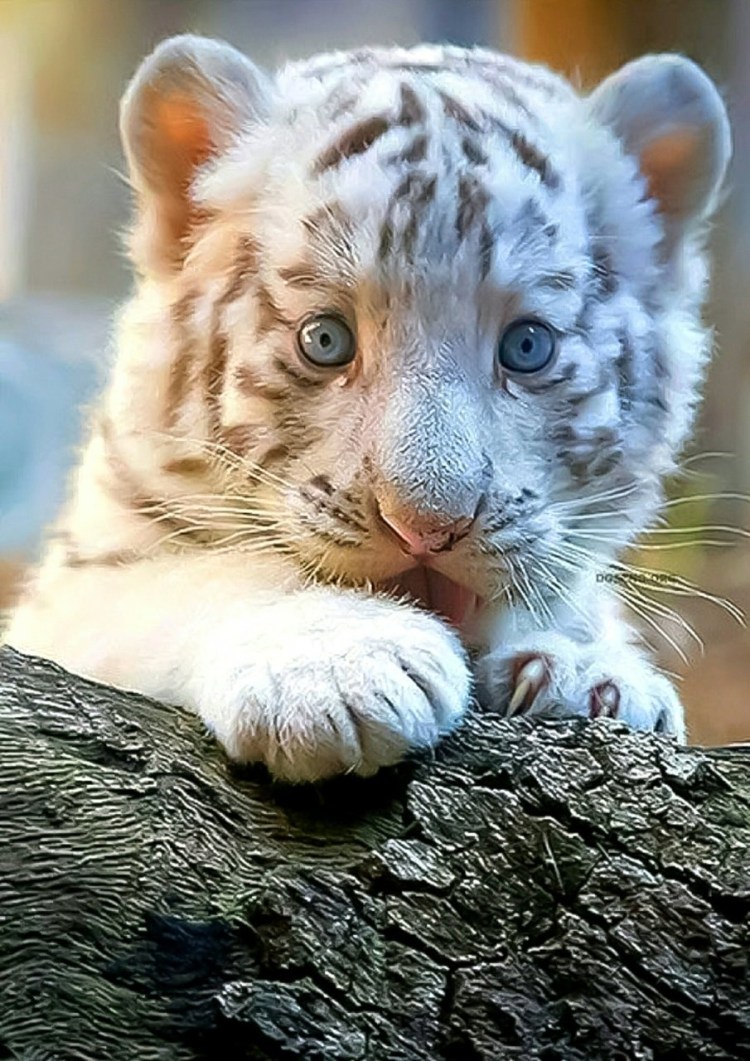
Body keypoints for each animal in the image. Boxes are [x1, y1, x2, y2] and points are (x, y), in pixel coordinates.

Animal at [4, 35, 731, 781]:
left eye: (528, 346)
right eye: (324, 340)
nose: (427, 530)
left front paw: (590, 673)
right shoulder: (68, 600)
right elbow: (192, 579)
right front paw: (335, 669)